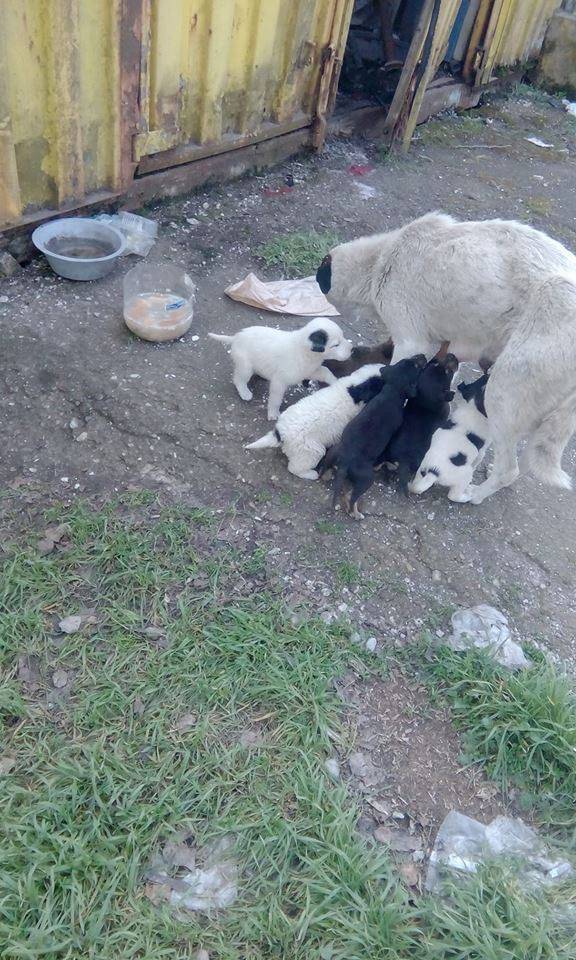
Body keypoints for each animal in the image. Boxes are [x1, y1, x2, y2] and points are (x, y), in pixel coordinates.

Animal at [208, 316, 352, 418]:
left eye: (343, 337)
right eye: (336, 345)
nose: (352, 349)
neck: (304, 350)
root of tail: (236, 337)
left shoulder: (309, 370)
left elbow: (326, 371)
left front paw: (337, 382)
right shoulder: (280, 382)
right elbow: (276, 399)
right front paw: (273, 413)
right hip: (245, 366)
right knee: (238, 379)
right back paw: (244, 392)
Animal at [318, 352, 426, 516]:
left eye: (407, 361)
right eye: (416, 366)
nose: (423, 356)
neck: (392, 391)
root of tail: (345, 462)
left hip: (332, 453)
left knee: (325, 469)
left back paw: (324, 475)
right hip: (367, 479)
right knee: (352, 498)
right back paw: (356, 513)